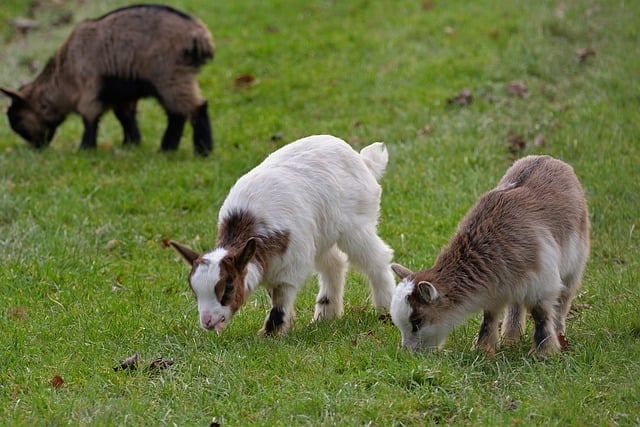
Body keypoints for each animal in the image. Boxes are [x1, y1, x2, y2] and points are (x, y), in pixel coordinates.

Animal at [0, 5, 216, 156]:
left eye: (17, 119)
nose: (36, 147)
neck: (64, 74)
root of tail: (199, 34)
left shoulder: (89, 90)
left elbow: (90, 119)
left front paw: (85, 149)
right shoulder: (121, 95)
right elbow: (125, 117)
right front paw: (131, 144)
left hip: (169, 75)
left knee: (196, 107)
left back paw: (202, 150)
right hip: (174, 77)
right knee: (177, 113)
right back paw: (167, 148)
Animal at [170, 135, 396, 336]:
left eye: (228, 287)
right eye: (194, 290)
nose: (207, 322)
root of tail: (363, 161)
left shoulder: (291, 264)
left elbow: (281, 296)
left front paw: (271, 333)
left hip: (356, 226)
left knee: (377, 259)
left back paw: (385, 309)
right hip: (321, 236)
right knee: (334, 264)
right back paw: (325, 316)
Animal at [390, 156, 592, 358]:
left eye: (417, 322)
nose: (408, 354)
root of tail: (550, 159)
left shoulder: (542, 285)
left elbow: (541, 316)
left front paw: (542, 353)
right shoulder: (497, 289)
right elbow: (489, 317)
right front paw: (483, 349)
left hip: (574, 266)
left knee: (562, 302)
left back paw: (558, 335)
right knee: (516, 305)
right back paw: (511, 338)